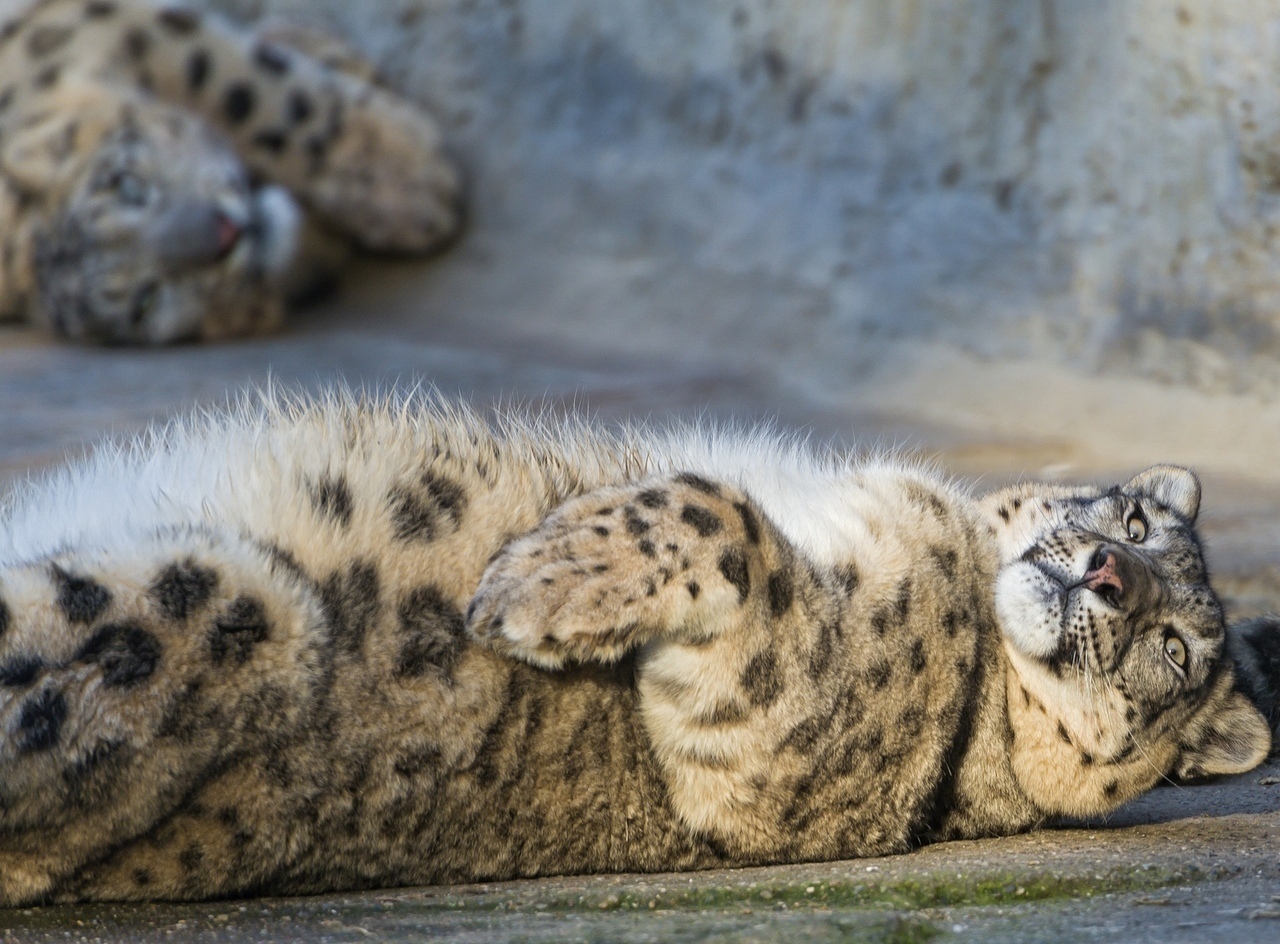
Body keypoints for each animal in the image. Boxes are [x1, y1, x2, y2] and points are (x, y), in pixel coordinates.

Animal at [0, 0, 460, 345]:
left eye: (128, 186)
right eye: (145, 301)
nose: (226, 234)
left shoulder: (102, 27)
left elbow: (250, 91)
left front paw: (415, 178)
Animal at [0, 388, 1264, 895]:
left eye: (1171, 652)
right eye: (1134, 521)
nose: (1106, 575)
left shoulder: (773, 744)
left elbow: (727, 515)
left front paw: (532, 583)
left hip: (227, 609)